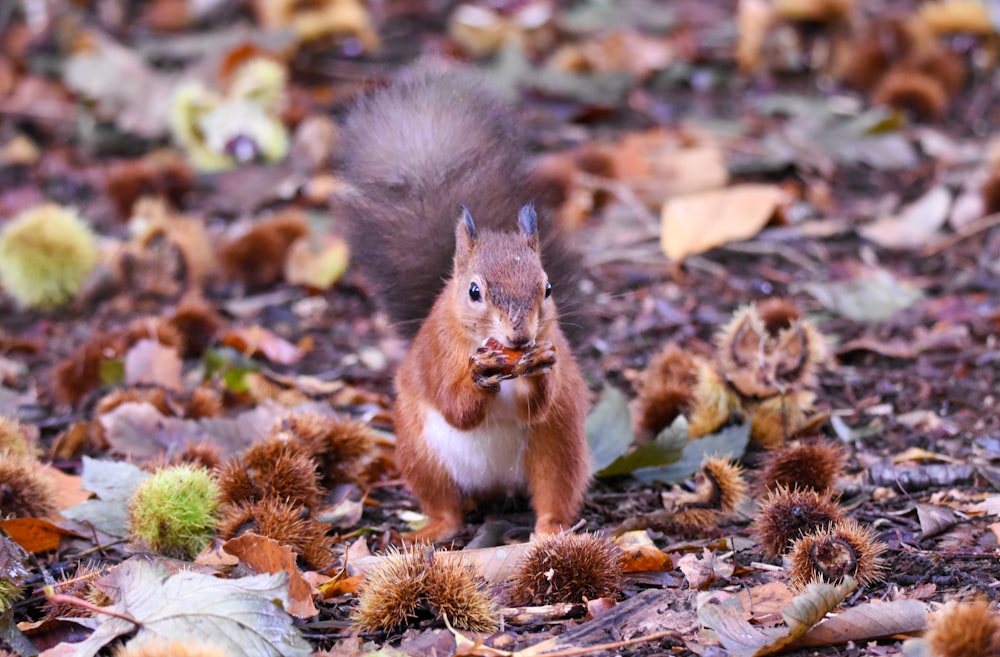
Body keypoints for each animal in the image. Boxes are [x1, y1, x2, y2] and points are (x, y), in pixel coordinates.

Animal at [336, 69, 588, 540]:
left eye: (547, 288)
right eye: (474, 292)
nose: (520, 337)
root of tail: (494, 485)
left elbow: (536, 404)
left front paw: (542, 365)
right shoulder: (438, 353)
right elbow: (457, 408)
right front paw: (479, 376)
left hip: (558, 446)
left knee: (553, 493)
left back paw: (551, 530)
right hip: (420, 454)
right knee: (447, 510)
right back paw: (431, 530)